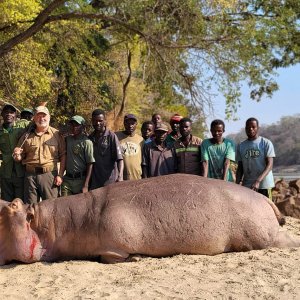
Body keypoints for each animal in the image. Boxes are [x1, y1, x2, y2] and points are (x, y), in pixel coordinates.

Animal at [0, 173, 300, 264]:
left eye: (11, 206)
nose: (7, 200)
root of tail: (264, 198)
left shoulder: (113, 246)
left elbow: (111, 257)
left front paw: (136, 258)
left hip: (262, 235)